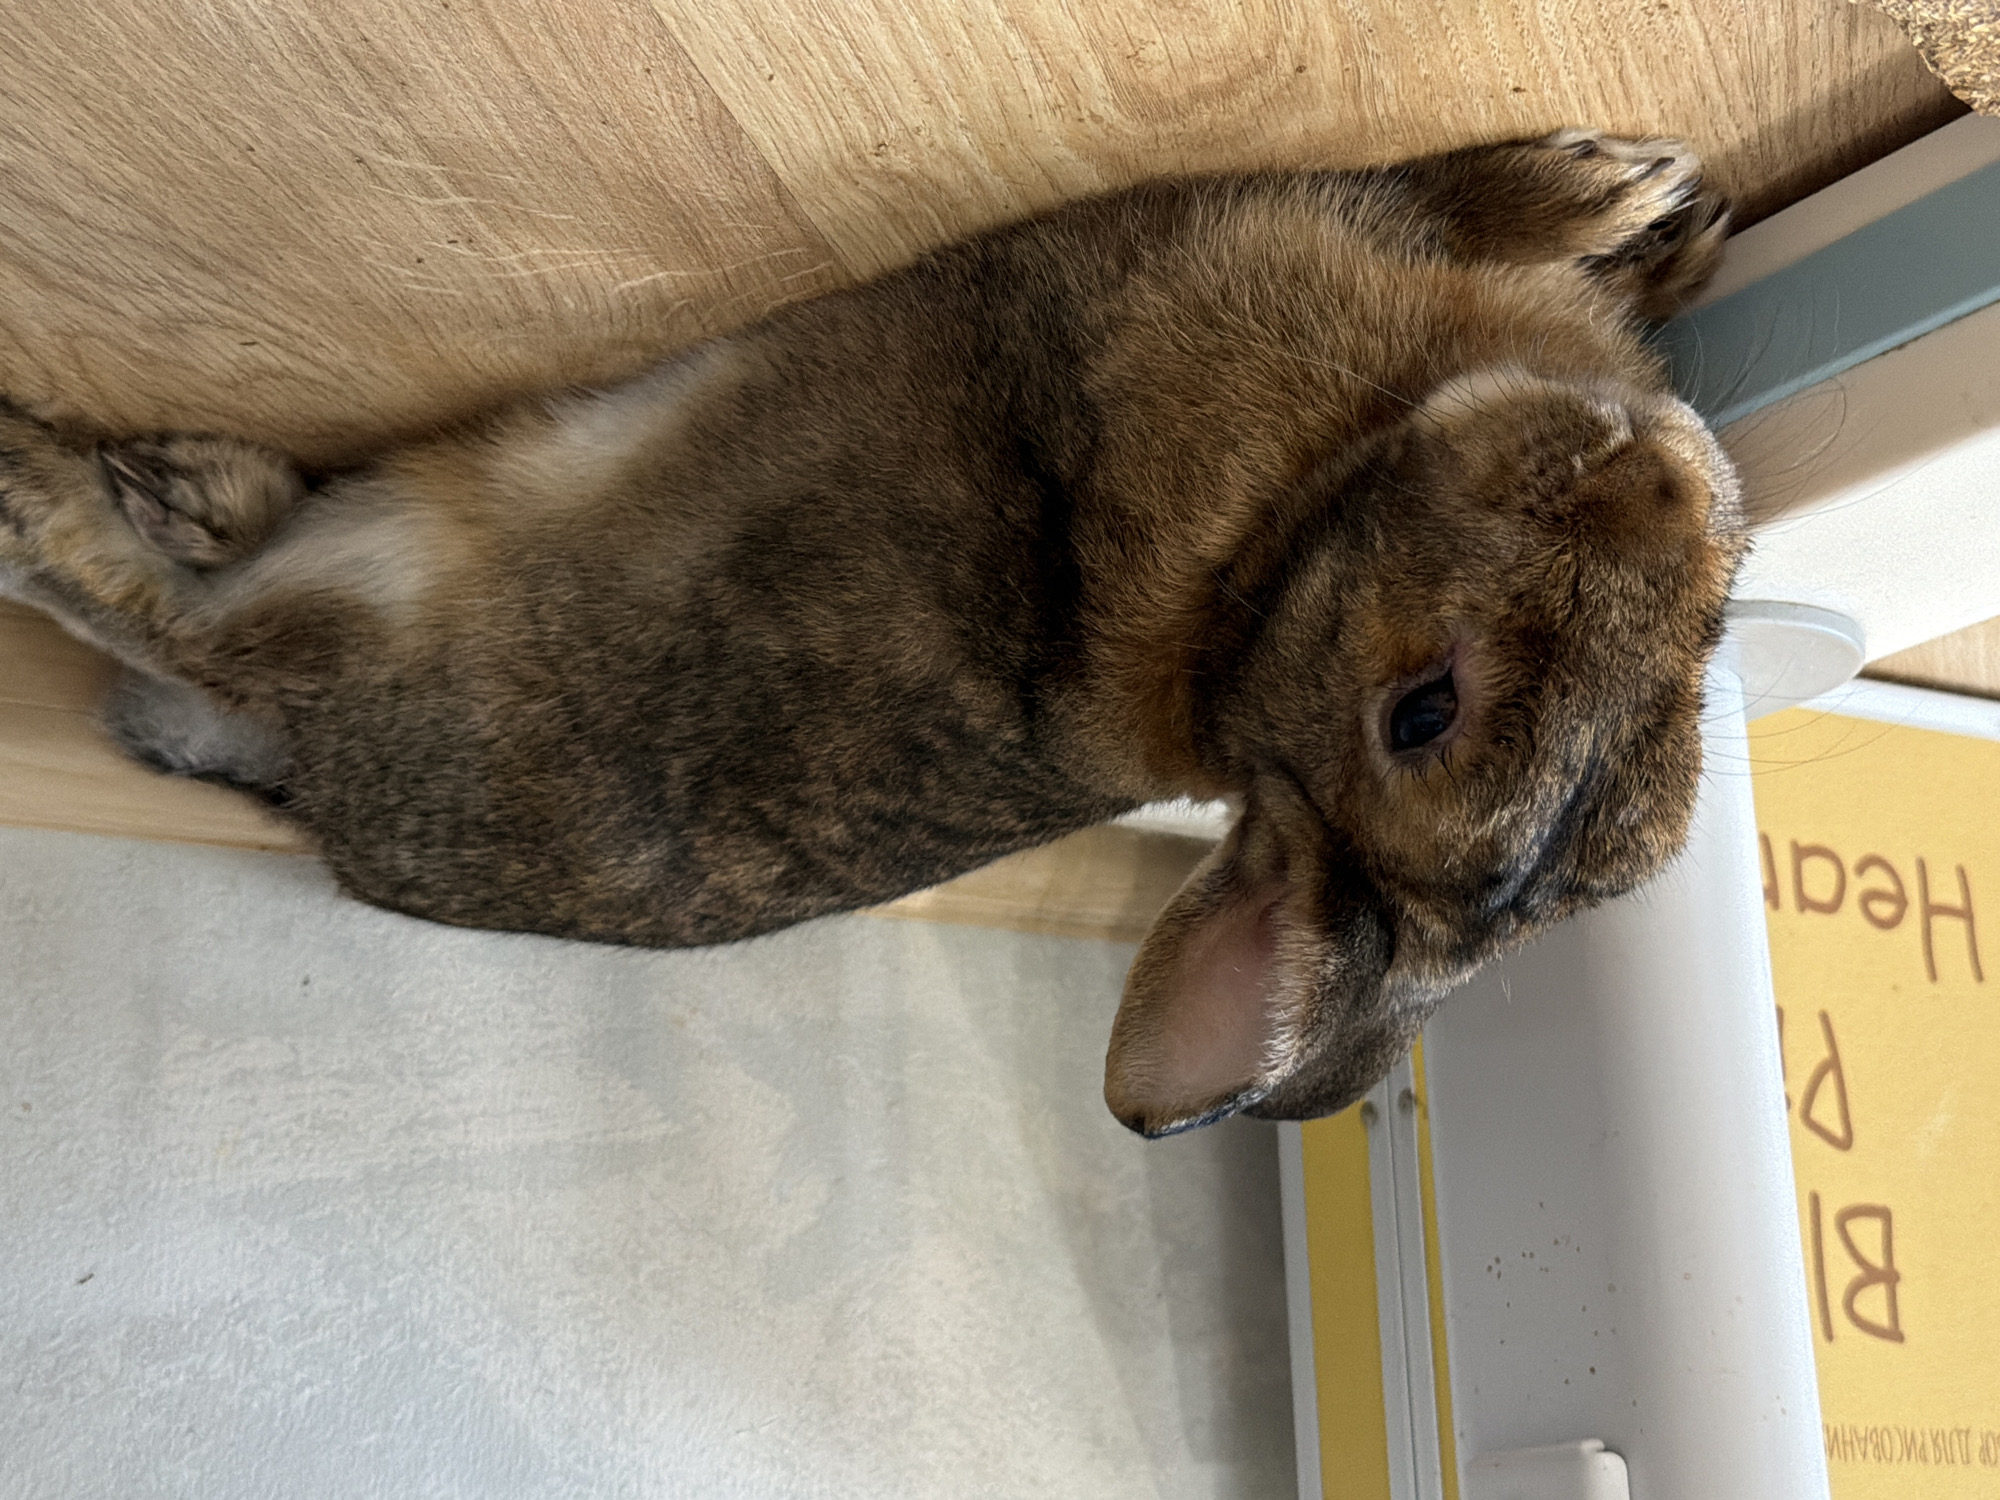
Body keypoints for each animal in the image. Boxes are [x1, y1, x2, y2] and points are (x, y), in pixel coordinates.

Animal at [0, 128, 1745, 1138]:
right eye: (1425, 714)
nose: (1672, 475)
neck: (1271, 568)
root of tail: (316, 781)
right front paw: (1644, 199)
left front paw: (1616, 193)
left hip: (381, 572)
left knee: (159, 611)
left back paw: (60, 484)